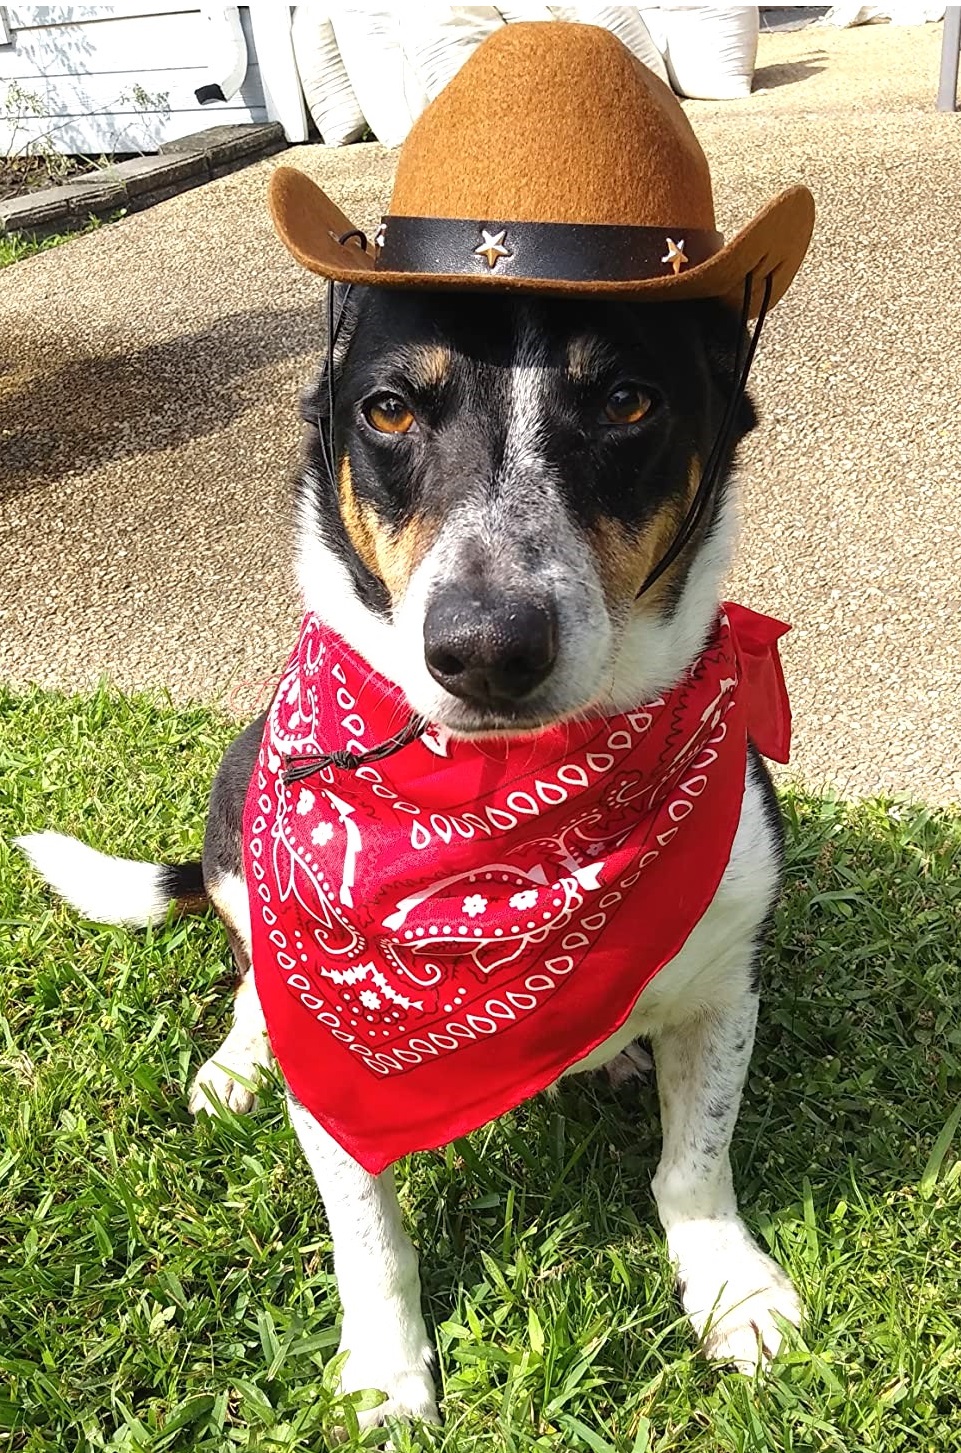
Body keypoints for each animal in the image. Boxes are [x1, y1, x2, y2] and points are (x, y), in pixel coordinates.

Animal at [20, 283, 802, 1429]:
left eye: (626, 400)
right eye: (388, 409)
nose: (486, 647)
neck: (503, 804)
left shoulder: (724, 981)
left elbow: (694, 1163)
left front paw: (729, 1288)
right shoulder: (340, 1066)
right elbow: (368, 1236)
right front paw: (384, 1373)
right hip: (237, 810)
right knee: (248, 970)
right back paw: (237, 1060)